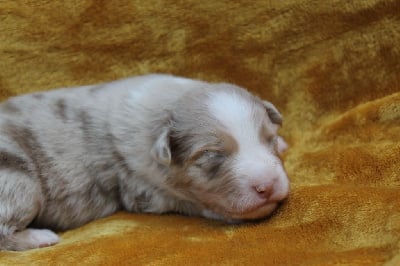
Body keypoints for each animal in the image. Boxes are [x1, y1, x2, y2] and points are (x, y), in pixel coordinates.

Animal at [0, 74, 288, 250]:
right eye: (211, 155)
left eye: (269, 138)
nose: (268, 186)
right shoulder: (140, 186)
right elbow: (187, 201)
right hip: (18, 181)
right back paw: (39, 237)